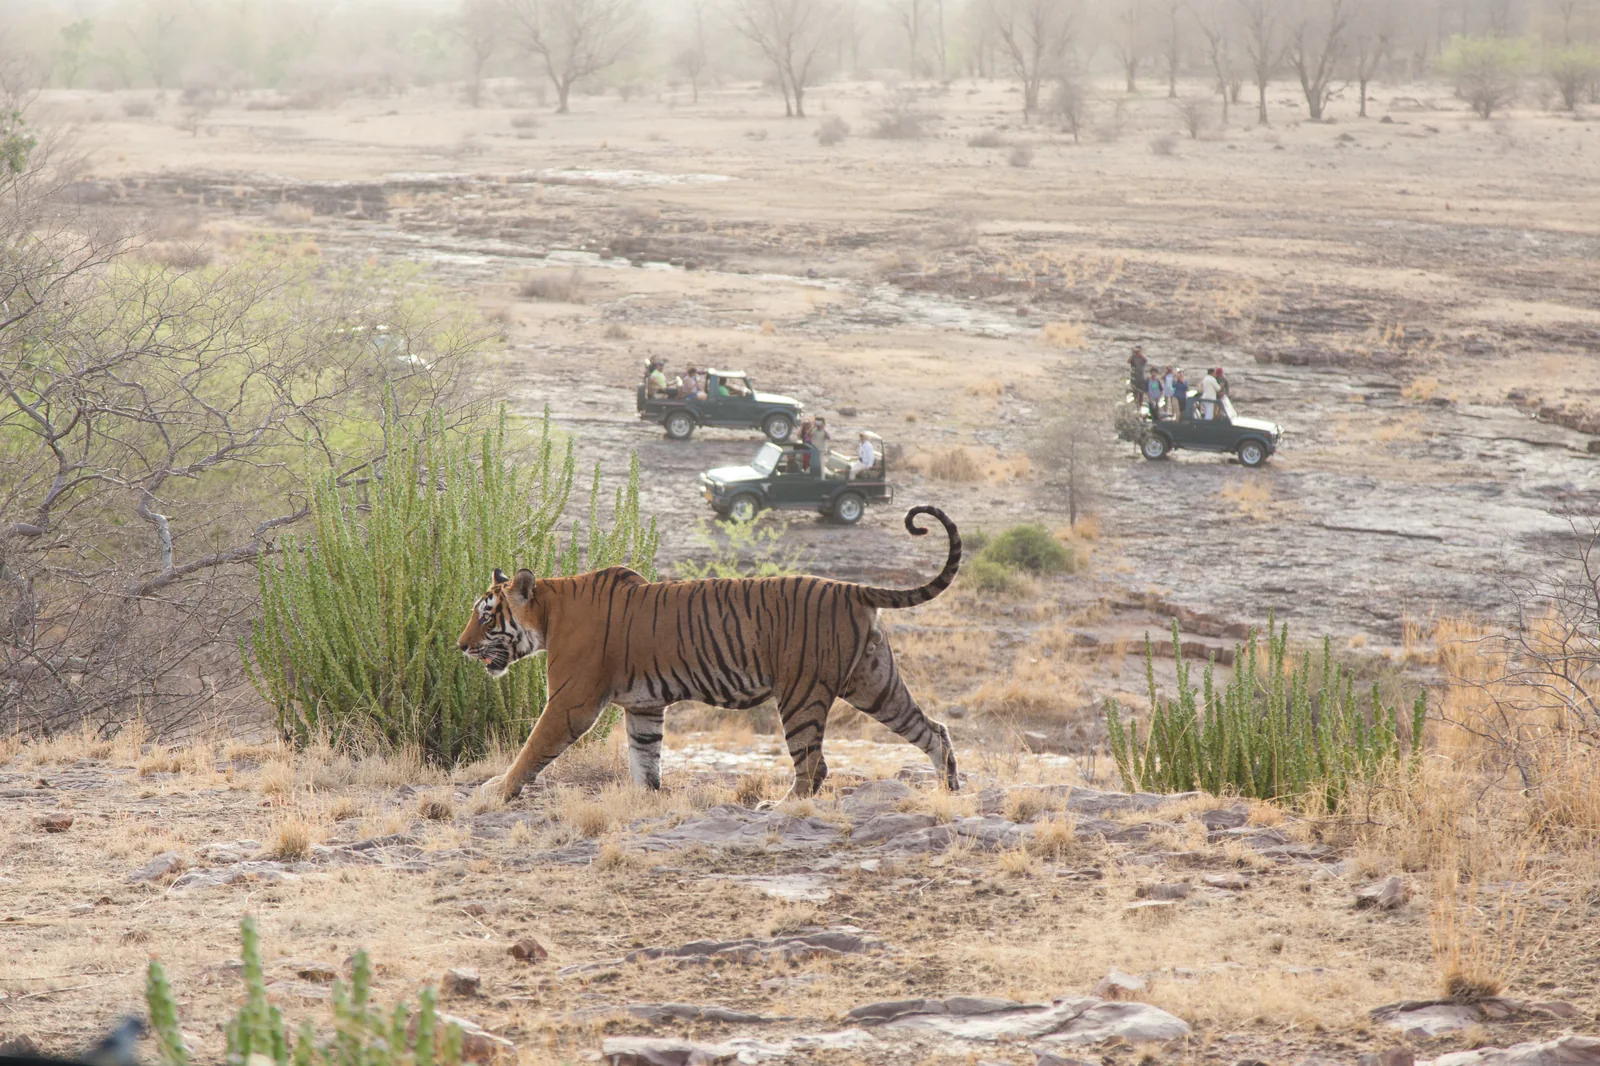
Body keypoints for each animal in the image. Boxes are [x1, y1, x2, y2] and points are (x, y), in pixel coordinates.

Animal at [457, 504, 962, 803]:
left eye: (486, 616)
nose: (460, 647)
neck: (549, 612)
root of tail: (851, 587)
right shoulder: (643, 706)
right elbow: (645, 758)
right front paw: (647, 800)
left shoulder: (569, 703)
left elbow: (531, 750)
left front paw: (496, 790)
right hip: (874, 682)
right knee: (932, 729)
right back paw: (949, 790)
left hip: (801, 692)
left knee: (811, 763)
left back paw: (780, 807)